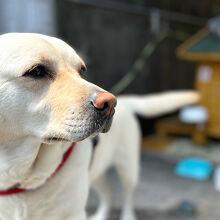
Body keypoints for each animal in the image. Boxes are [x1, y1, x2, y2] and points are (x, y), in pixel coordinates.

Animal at [88, 90, 199, 219]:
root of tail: (124, 101)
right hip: (95, 173)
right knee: (108, 191)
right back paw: (101, 216)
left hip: (129, 171)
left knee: (128, 196)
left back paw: (127, 216)